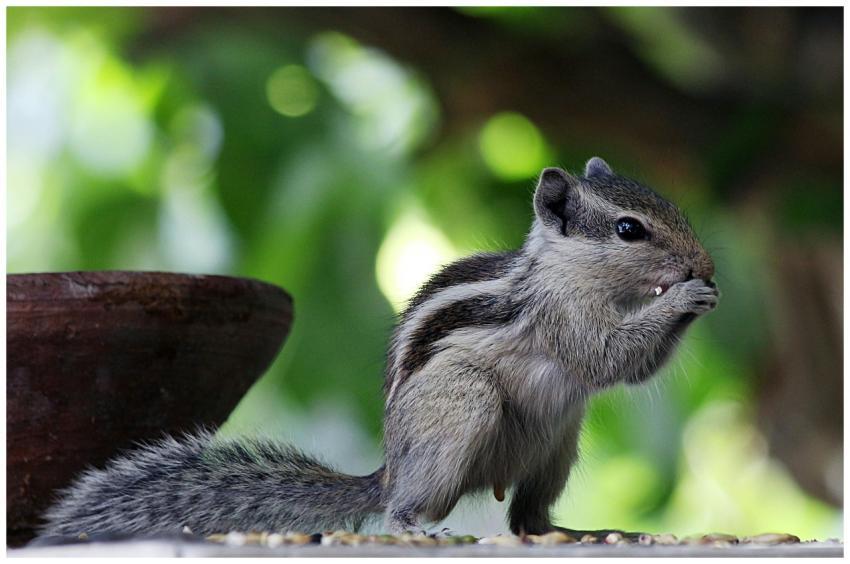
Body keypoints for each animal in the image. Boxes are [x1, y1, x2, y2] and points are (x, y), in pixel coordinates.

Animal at [39, 157, 718, 539]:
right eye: (629, 229)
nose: (705, 264)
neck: (567, 269)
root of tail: (390, 467)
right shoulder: (561, 316)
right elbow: (609, 357)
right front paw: (684, 298)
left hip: (557, 447)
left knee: (527, 520)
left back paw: (581, 533)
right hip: (462, 408)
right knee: (403, 509)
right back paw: (417, 528)